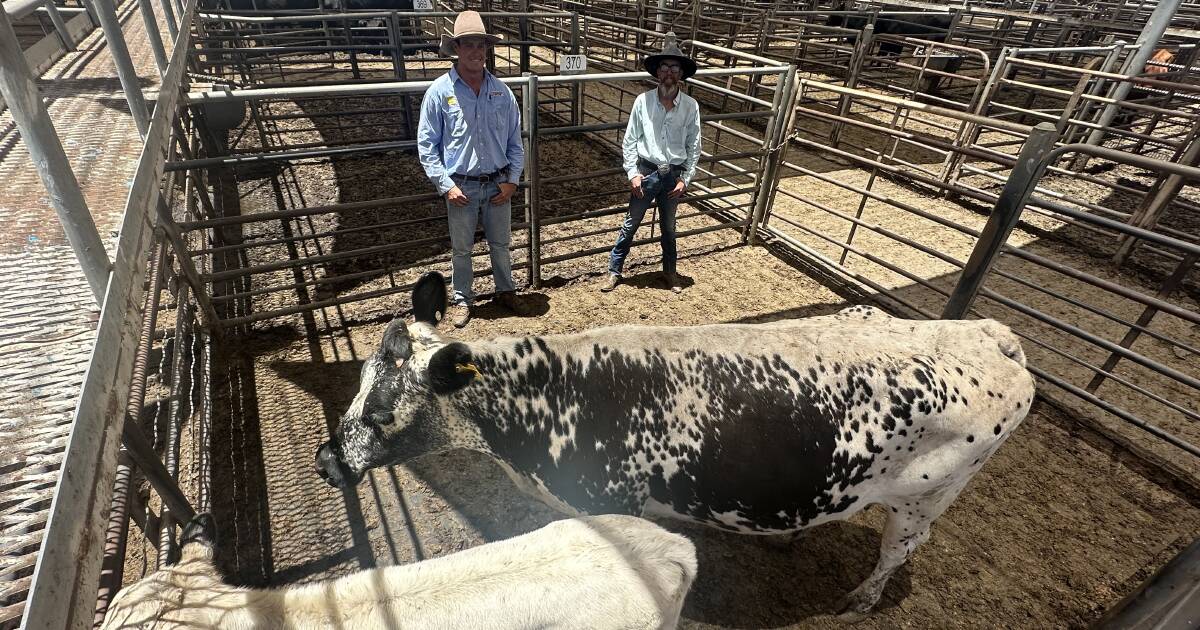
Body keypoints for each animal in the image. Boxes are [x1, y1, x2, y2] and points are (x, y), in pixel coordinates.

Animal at [319, 271, 1041, 614]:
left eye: (379, 411)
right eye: (356, 382)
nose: (327, 461)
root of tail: (986, 331)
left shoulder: (614, 508)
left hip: (925, 501)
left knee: (898, 553)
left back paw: (858, 602)